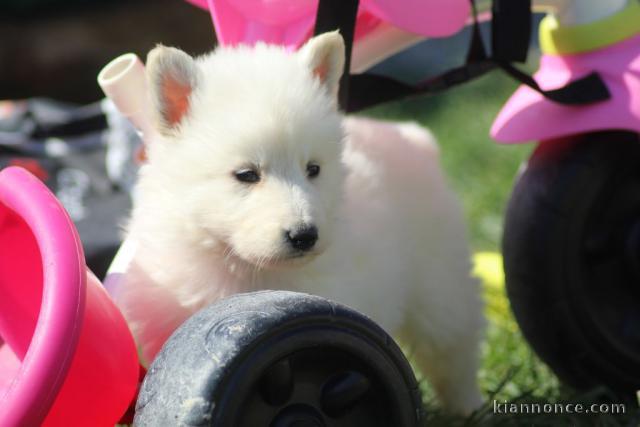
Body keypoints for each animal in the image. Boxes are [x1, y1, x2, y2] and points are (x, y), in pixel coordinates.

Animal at [110, 32, 482, 414]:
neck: (246, 272)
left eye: (313, 169)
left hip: (438, 283)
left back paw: (469, 407)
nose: (305, 236)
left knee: (454, 349)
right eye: (247, 174)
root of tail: (414, 138)